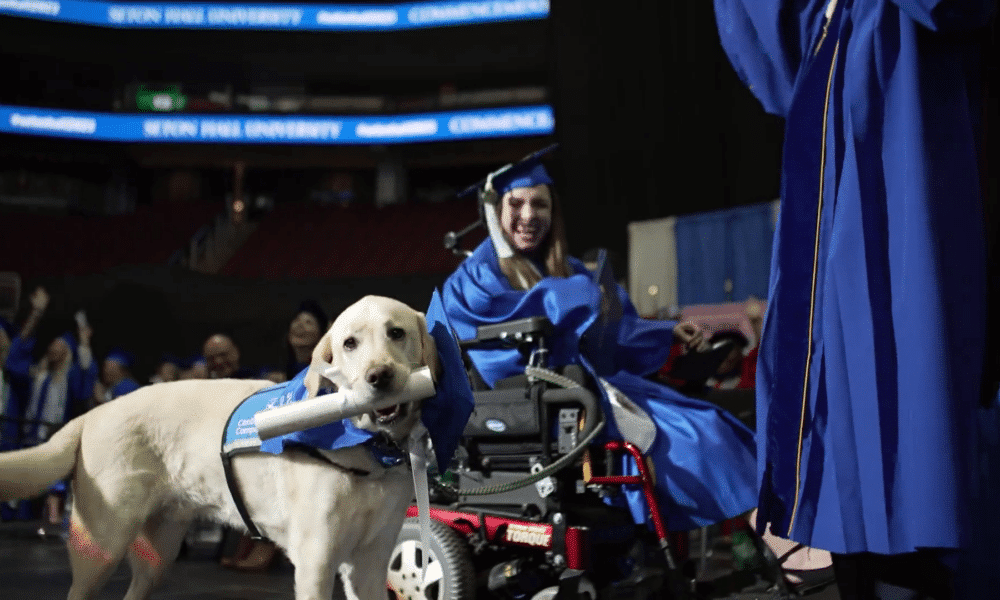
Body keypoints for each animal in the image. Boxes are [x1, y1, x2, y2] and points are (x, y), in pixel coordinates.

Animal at [0, 296, 438, 600]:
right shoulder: (316, 561)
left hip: (157, 556)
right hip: (101, 548)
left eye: (396, 333)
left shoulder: (370, 565)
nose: (379, 376)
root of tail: (93, 412)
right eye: (349, 344)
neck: (368, 450)